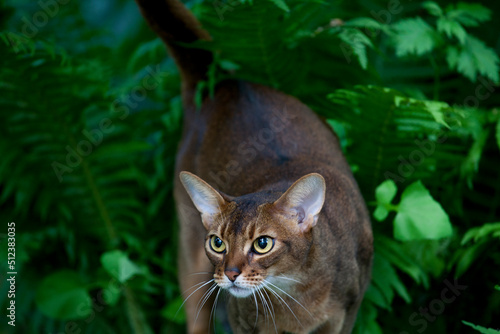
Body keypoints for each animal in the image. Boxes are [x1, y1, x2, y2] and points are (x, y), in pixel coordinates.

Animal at [135, 0, 374, 334]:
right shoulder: (242, 322)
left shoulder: (347, 314)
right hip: (191, 260)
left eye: (262, 244)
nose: (231, 273)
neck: (296, 294)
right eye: (218, 243)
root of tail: (229, 84)